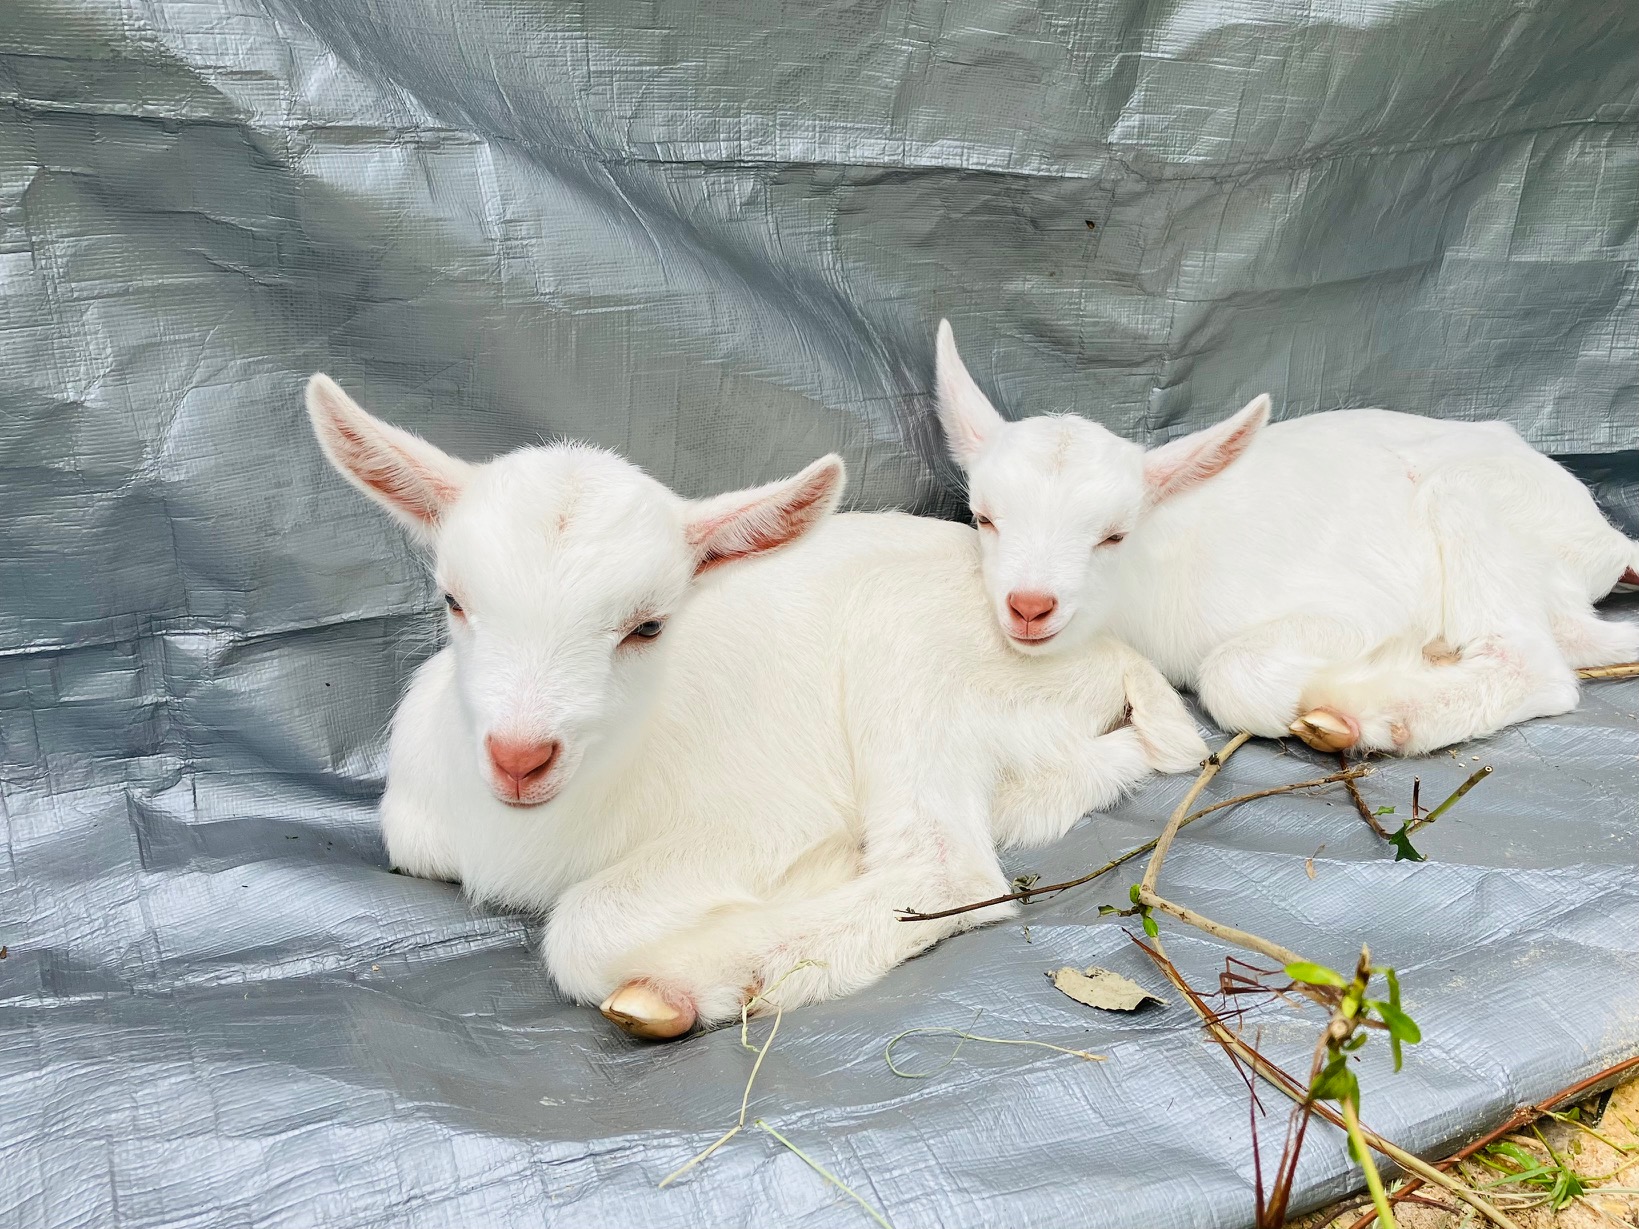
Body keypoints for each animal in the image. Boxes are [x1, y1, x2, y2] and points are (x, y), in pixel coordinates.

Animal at [308, 375, 1206, 1042]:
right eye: (454, 601)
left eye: (647, 625)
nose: (520, 756)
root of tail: (1108, 646)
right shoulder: (417, 824)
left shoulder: (765, 815)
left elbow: (586, 928)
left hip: (903, 652)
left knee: (948, 868)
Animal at [937, 322, 1639, 757]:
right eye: (985, 519)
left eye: (1113, 535)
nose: (1030, 607)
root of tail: (1605, 539)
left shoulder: (1360, 608)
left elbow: (1232, 674)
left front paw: (1343, 694)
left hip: (1472, 500)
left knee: (1534, 662)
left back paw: (1379, 711)